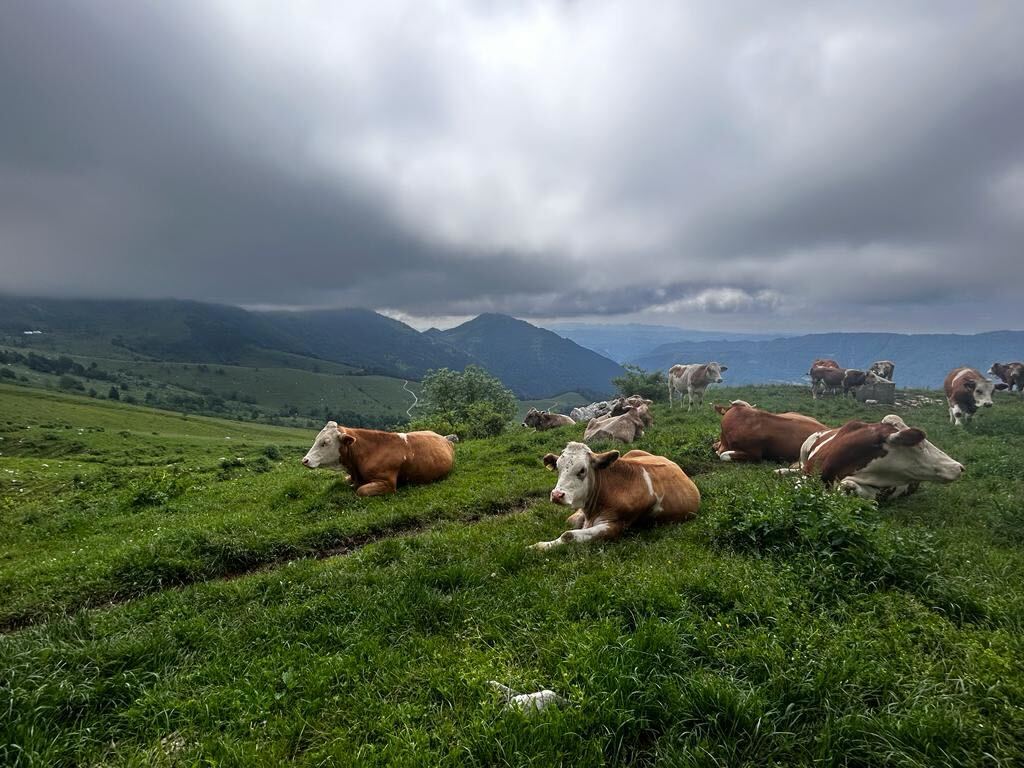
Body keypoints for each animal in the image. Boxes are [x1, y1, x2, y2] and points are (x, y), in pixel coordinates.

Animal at [301, 421, 455, 496]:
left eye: (325, 442)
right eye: (317, 438)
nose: (305, 460)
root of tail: (444, 437)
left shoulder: (388, 483)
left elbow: (360, 490)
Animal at [530, 442, 700, 550]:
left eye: (582, 470)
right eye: (558, 468)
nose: (557, 495)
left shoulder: (614, 526)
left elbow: (568, 535)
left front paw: (537, 546)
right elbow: (571, 522)